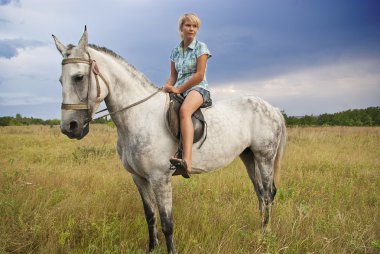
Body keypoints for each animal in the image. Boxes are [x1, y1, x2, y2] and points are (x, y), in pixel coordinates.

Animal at [52, 28, 284, 253]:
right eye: (61, 81)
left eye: (79, 77)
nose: (69, 127)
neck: (140, 115)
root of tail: (272, 108)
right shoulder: (139, 178)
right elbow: (150, 216)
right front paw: (151, 248)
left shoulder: (160, 178)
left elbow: (167, 223)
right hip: (248, 156)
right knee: (260, 193)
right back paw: (260, 230)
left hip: (264, 157)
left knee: (268, 194)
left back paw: (266, 236)